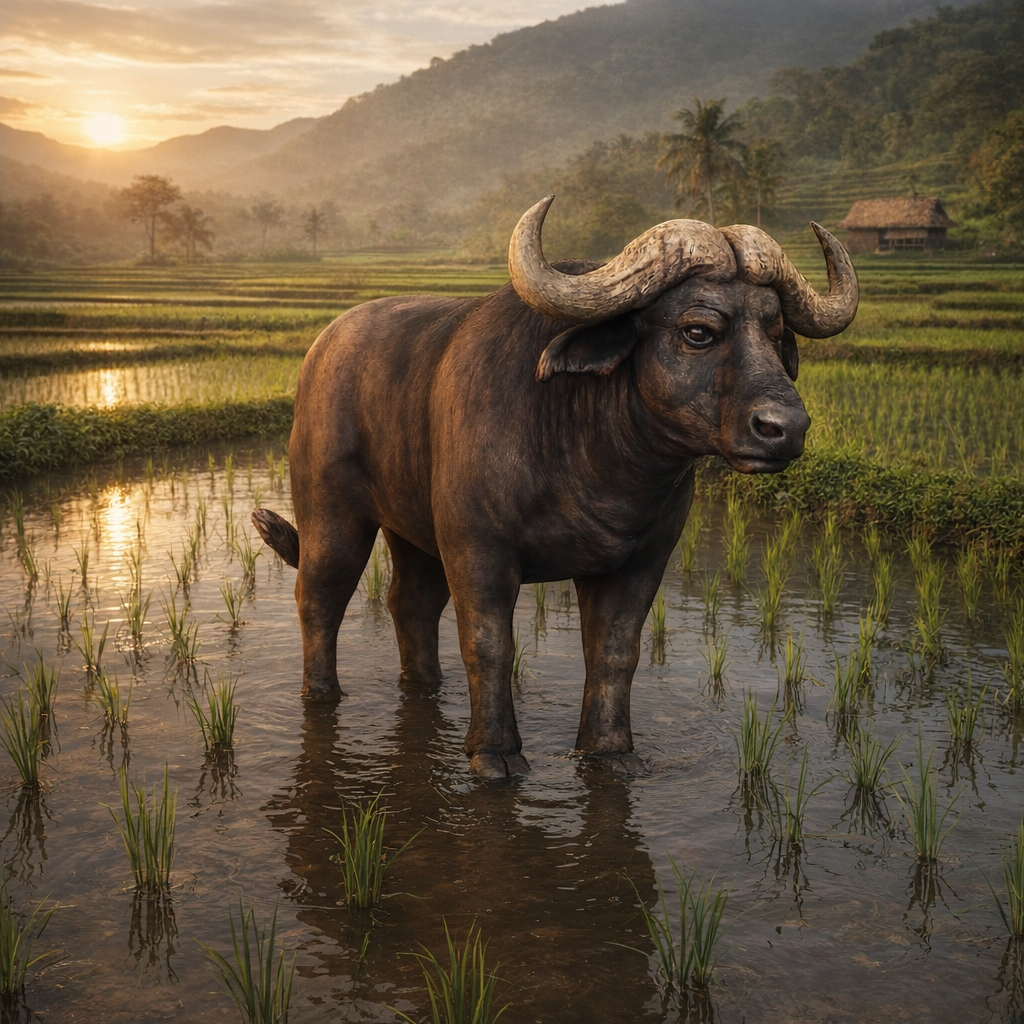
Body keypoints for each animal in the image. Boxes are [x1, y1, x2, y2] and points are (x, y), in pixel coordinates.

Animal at [253, 196, 858, 778]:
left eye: (775, 334)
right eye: (698, 331)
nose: (786, 428)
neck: (590, 454)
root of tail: (321, 349)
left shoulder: (644, 559)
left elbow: (615, 653)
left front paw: (610, 751)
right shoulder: (479, 549)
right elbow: (489, 647)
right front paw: (493, 754)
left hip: (414, 530)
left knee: (412, 603)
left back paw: (425, 686)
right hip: (333, 513)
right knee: (320, 595)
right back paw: (321, 694)